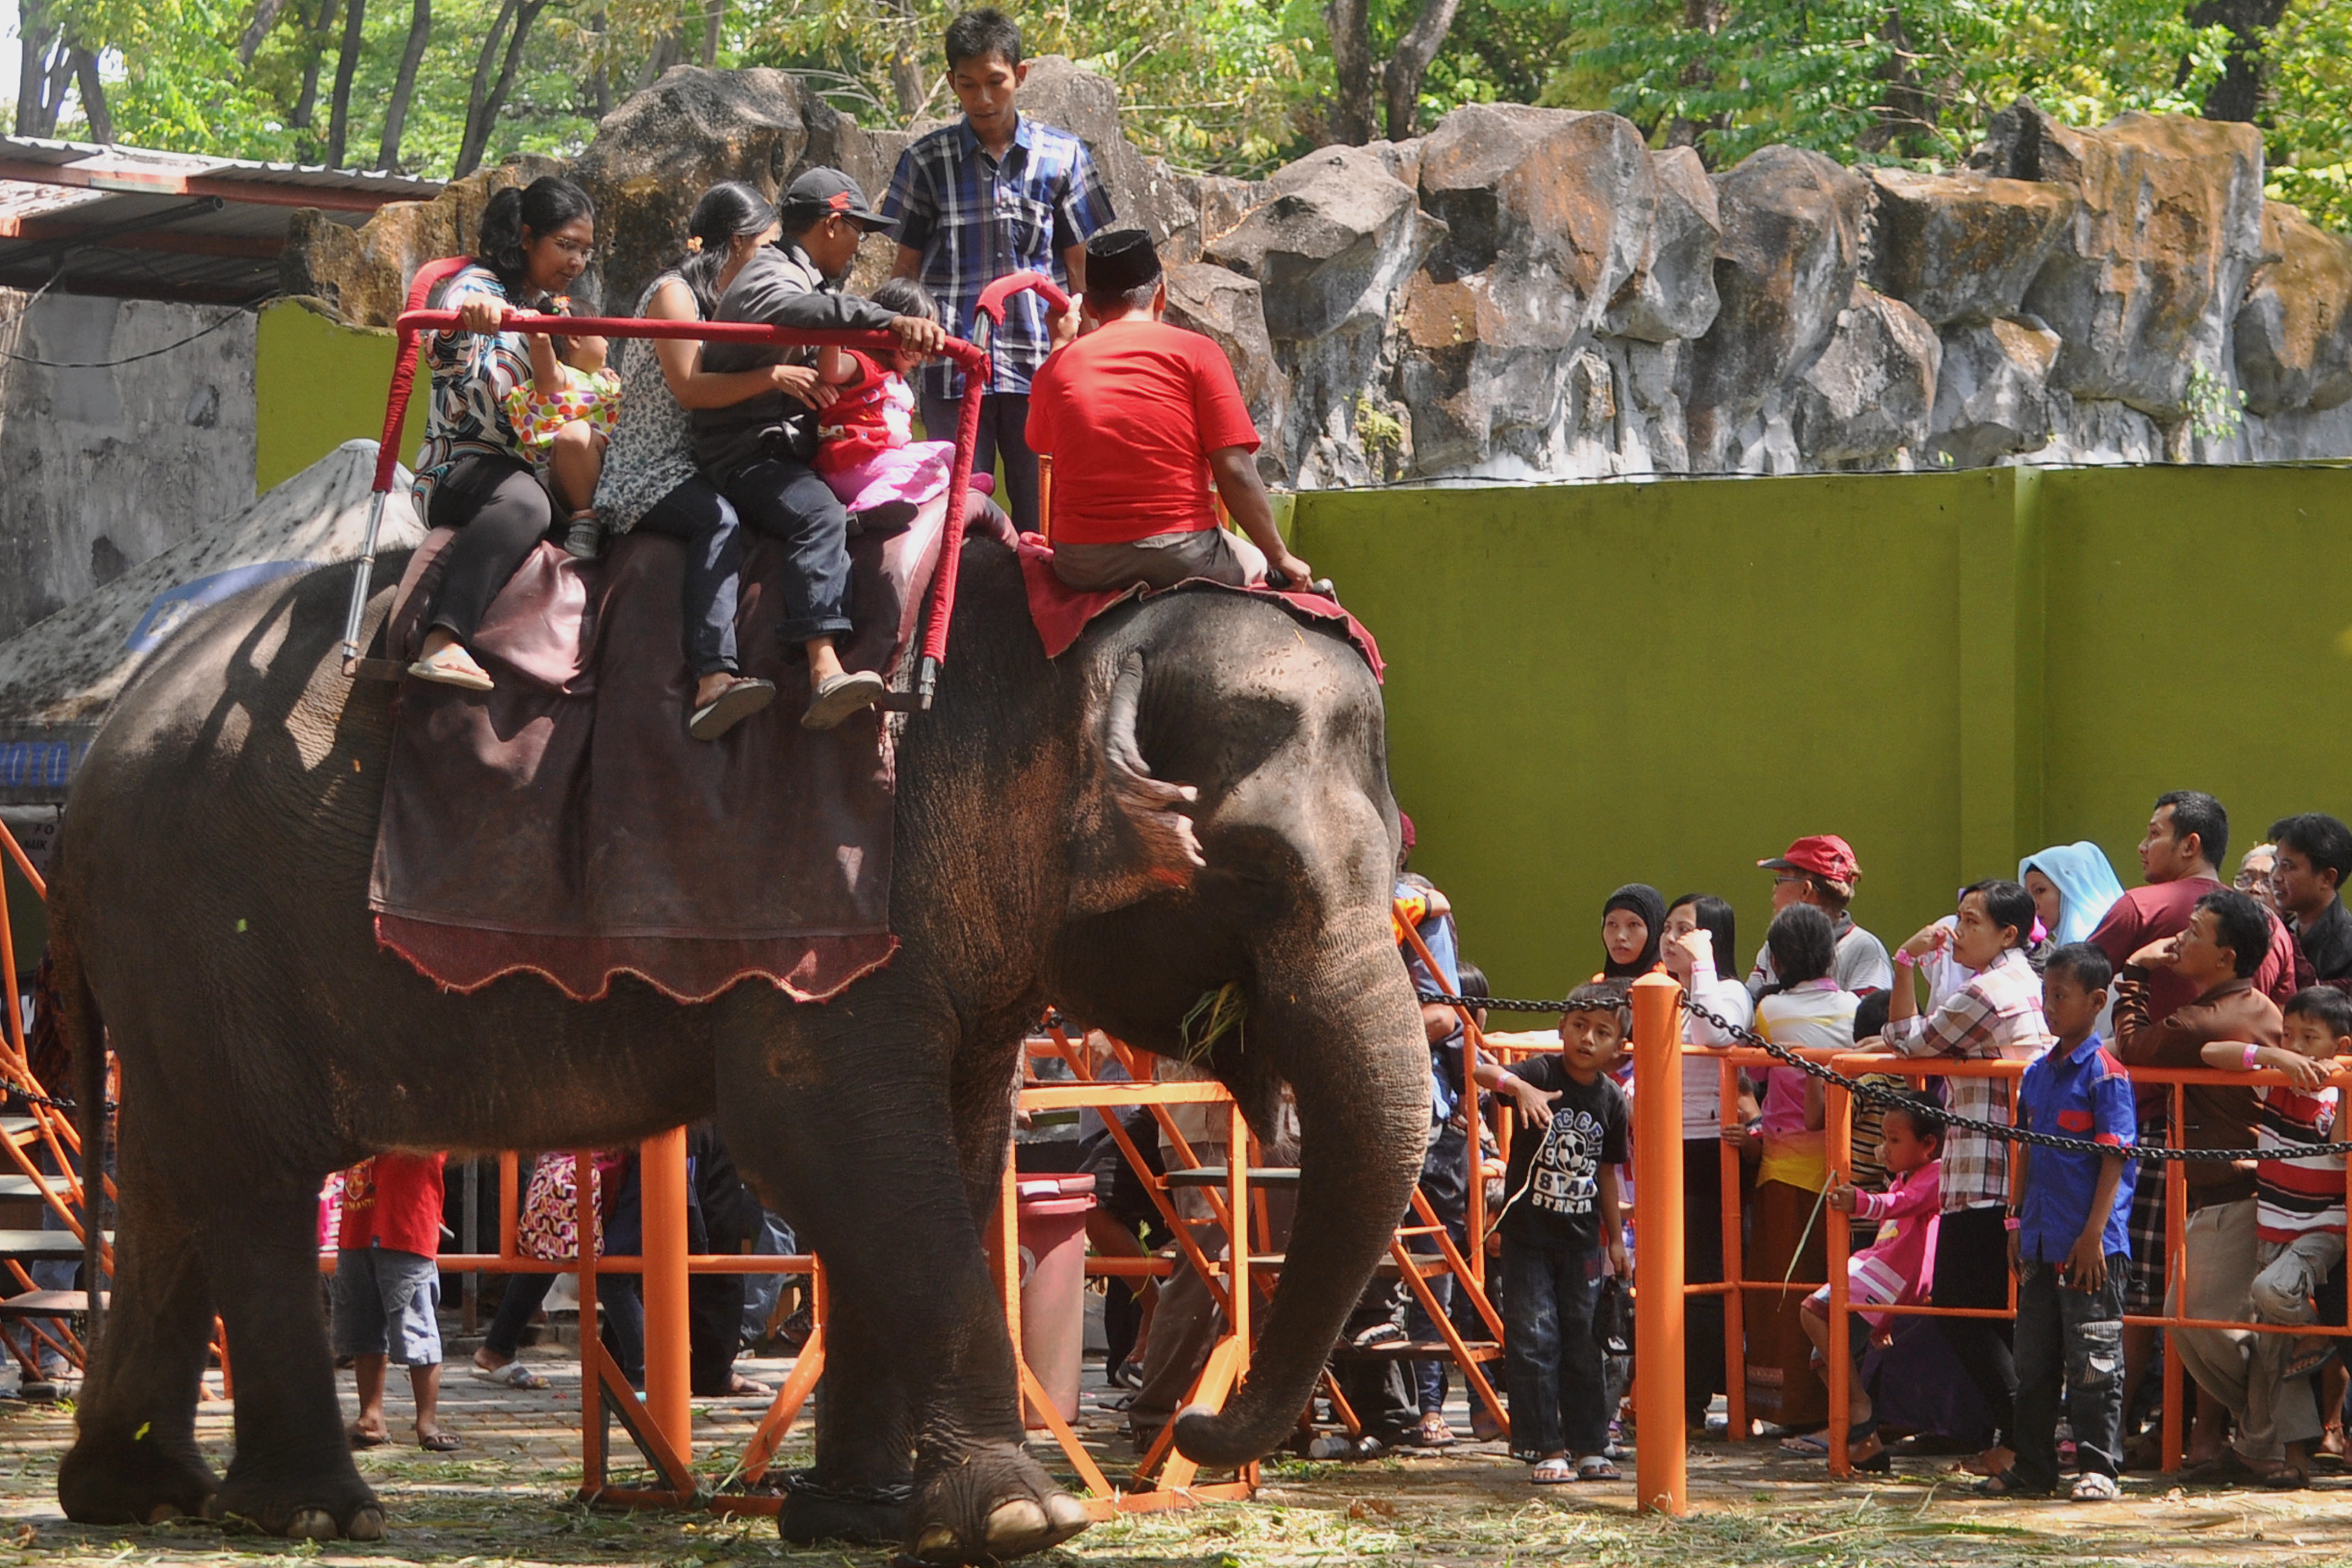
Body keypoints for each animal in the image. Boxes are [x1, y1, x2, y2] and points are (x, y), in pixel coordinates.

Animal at [46, 533, 1420, 1561]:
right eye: (1255, 872)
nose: (1192, 1436)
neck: (1065, 635)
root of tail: (98, 742)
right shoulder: (844, 881)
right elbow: (824, 1131)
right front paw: (1024, 1518)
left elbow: (953, 1143)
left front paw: (859, 1521)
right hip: (205, 913)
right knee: (257, 1179)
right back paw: (314, 1512)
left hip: (178, 961)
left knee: (174, 1173)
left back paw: (140, 1495)